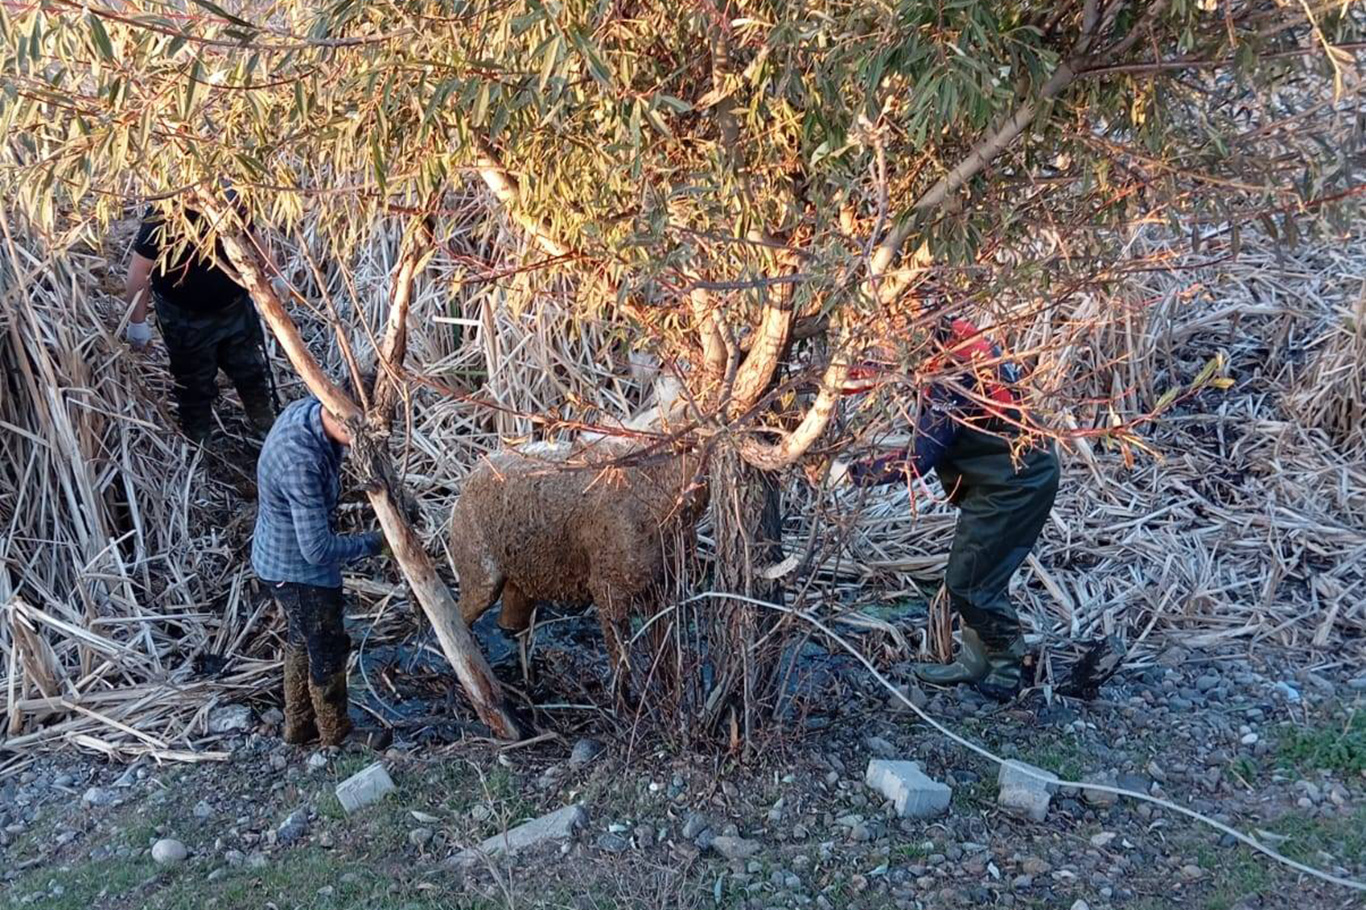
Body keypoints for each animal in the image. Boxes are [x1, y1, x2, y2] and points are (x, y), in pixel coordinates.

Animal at [450, 371, 710, 691]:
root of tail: (468, 479)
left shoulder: (663, 587)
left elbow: (666, 662)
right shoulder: (608, 589)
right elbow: (622, 668)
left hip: (523, 579)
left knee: (510, 625)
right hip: (481, 577)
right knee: (458, 622)